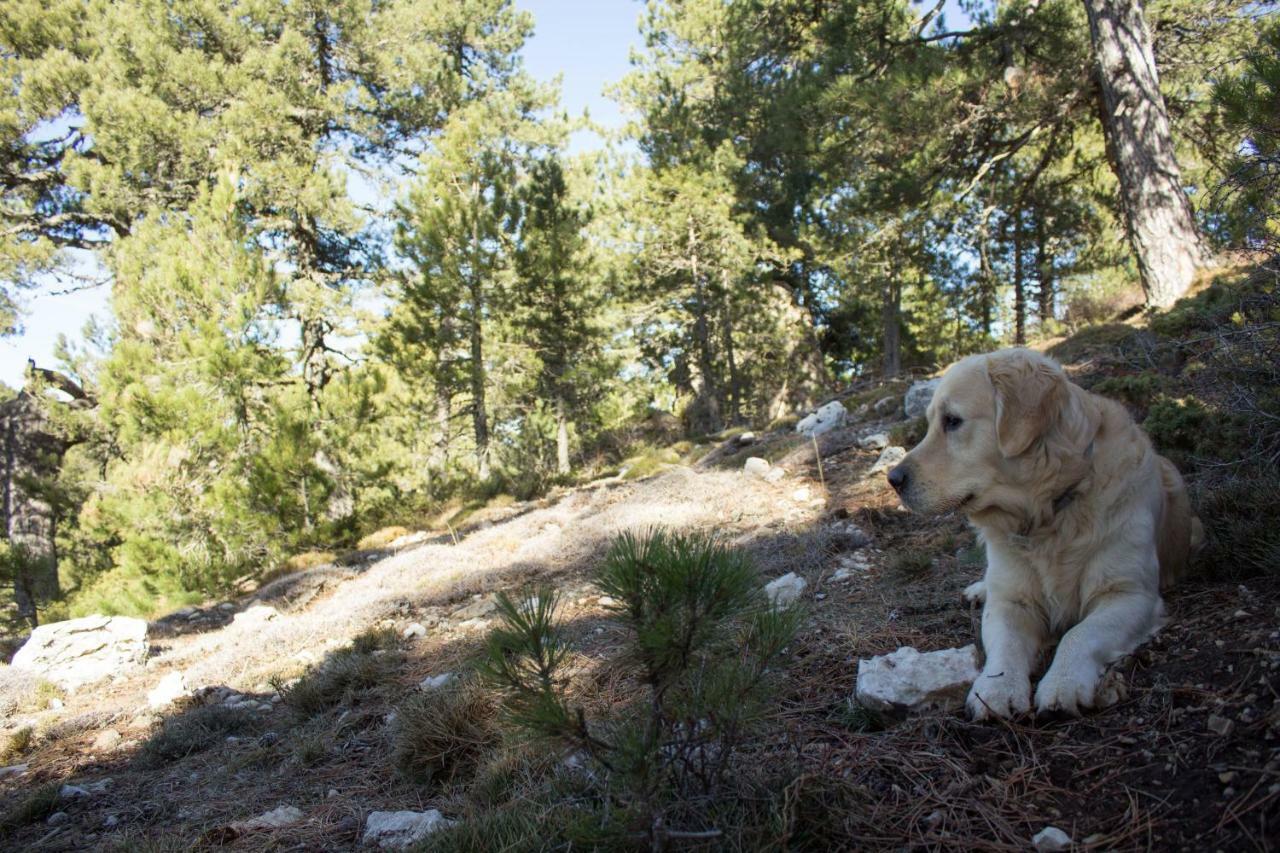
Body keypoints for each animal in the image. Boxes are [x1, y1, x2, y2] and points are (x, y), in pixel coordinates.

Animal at [890, 348, 1198, 717]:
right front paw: (997, 688)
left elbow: (1079, 634)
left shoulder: (1130, 595)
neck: (1050, 511)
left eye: (952, 420)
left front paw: (1063, 683)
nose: (893, 479)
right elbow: (1006, 644)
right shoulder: (1011, 601)